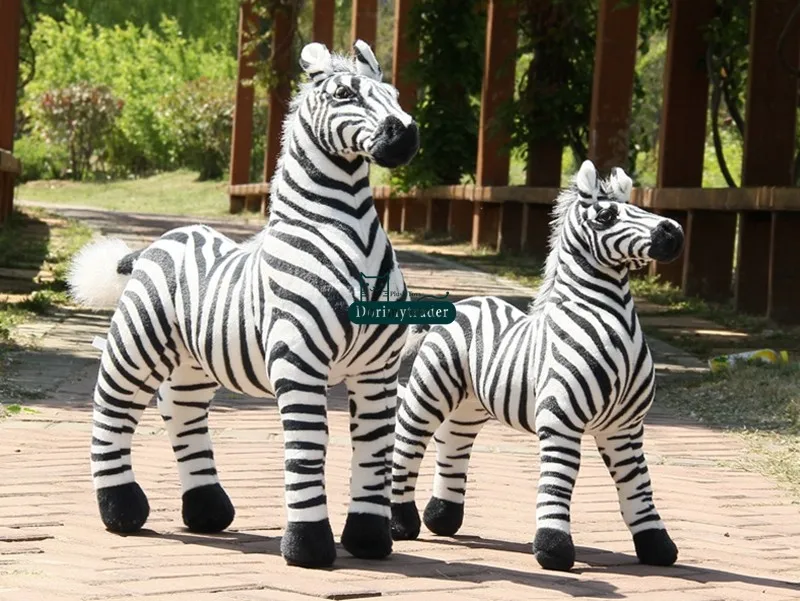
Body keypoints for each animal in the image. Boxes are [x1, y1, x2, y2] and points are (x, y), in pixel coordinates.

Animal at [67, 40, 419, 569]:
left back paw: (208, 511)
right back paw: (122, 512)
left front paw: (370, 541)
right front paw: (308, 548)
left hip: (192, 363)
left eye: (394, 94)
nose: (406, 134)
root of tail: (152, 246)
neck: (351, 237)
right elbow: (308, 446)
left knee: (181, 410)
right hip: (137, 344)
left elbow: (374, 448)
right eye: (343, 94)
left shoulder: (378, 369)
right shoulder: (299, 362)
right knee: (112, 410)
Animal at [390, 160, 684, 572]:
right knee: (409, 440)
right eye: (606, 216)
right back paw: (401, 523)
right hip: (430, 390)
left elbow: (637, 482)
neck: (616, 327)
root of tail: (464, 304)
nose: (673, 232)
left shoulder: (625, 426)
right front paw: (553, 549)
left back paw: (442, 518)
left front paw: (657, 545)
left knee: (452, 441)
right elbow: (560, 477)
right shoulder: (561, 420)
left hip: (470, 404)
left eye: (637, 207)